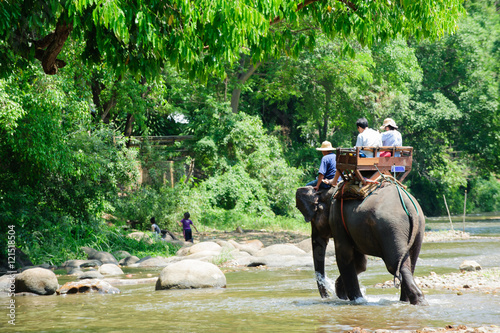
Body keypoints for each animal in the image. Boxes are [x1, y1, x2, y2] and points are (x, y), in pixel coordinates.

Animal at [294, 183, 428, 304]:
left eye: (313, 221)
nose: (326, 296)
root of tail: (409, 204)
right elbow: (361, 264)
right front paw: (344, 295)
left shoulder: (337, 219)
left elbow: (344, 257)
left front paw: (356, 300)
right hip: (418, 229)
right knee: (410, 263)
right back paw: (407, 301)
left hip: (391, 228)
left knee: (395, 265)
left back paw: (417, 301)